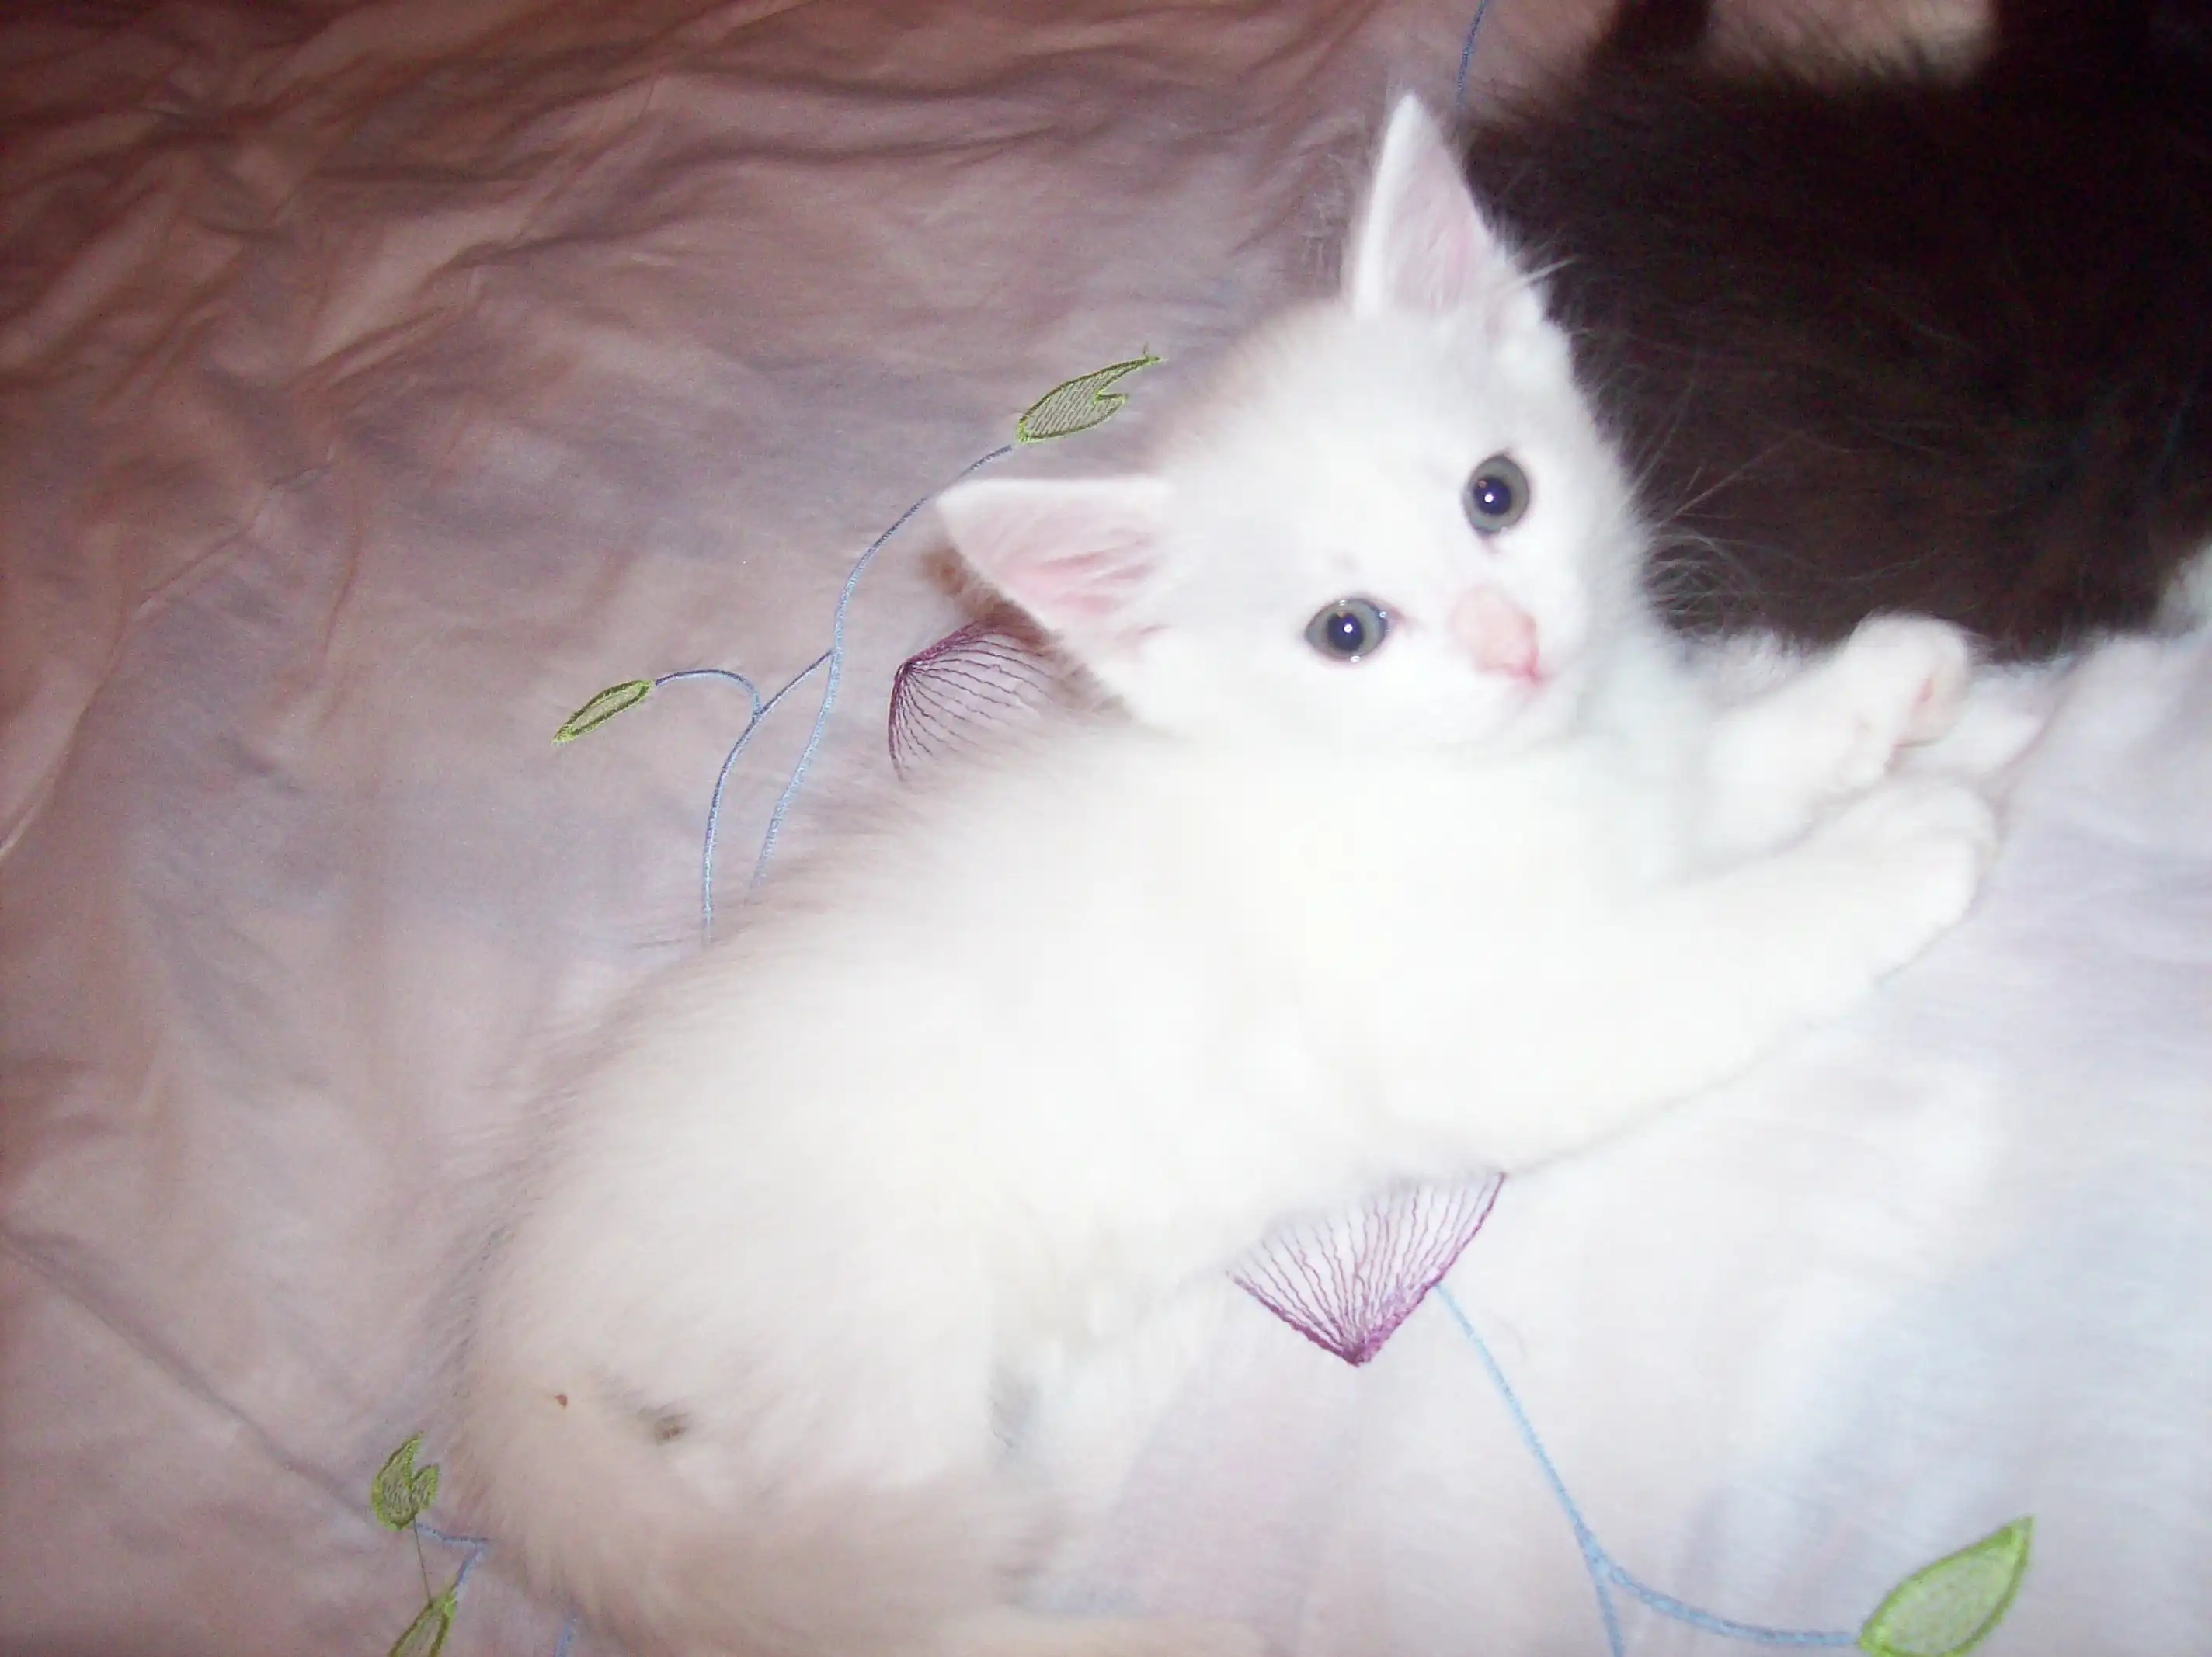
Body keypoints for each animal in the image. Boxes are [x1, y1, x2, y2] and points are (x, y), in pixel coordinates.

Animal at [451, 98, 2018, 1657]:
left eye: (1496, 495)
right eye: (1347, 629)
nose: (1511, 641)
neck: (1482, 777)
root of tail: (532, 1279)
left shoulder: (1645, 790)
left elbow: (1726, 772)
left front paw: (1900, 692)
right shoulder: (1478, 1024)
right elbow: (1712, 948)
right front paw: (1899, 843)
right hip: (863, 1335)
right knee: (864, 1596)